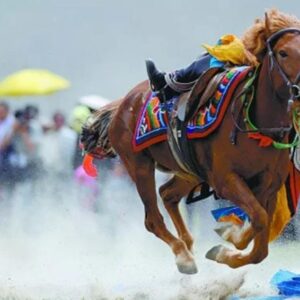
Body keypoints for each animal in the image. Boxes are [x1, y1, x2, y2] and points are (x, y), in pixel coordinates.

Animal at [81, 11, 300, 274]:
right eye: (283, 52)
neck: (257, 126)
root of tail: (123, 103)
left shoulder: (268, 186)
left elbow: (259, 245)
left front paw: (227, 245)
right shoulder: (225, 180)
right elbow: (257, 220)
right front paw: (229, 237)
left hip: (189, 172)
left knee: (168, 195)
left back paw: (188, 243)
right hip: (139, 165)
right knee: (152, 219)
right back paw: (183, 257)